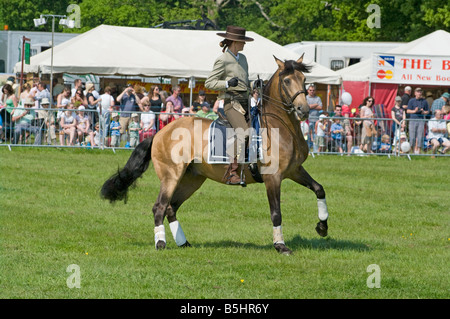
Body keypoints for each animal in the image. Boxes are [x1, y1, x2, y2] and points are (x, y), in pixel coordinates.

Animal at [100, 54, 328, 255]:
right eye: (287, 81)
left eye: (304, 79)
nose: (303, 110)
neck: (279, 125)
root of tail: (159, 132)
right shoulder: (273, 177)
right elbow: (276, 213)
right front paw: (281, 246)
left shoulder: (294, 170)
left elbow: (319, 189)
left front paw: (322, 226)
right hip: (171, 176)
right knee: (160, 206)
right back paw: (161, 243)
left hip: (192, 179)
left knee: (171, 207)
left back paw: (183, 243)